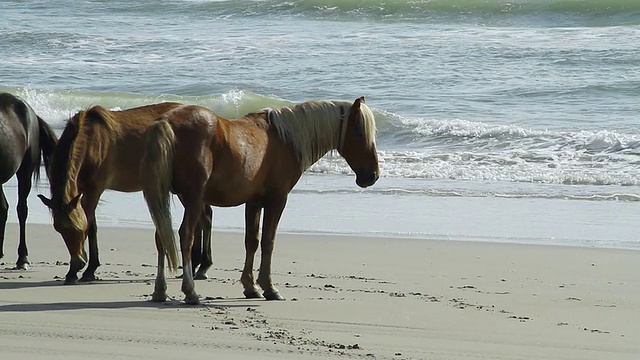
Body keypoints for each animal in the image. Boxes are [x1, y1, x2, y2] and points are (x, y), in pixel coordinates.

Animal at [39, 102, 215, 286]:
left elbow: (91, 224)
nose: (78, 262)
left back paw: (201, 266)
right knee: (202, 219)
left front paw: (87, 270)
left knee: (204, 218)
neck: (91, 140)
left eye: (79, 229)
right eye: (59, 229)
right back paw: (197, 266)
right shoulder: (81, 189)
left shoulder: (95, 189)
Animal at [141, 96, 380, 304]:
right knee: (186, 236)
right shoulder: (277, 199)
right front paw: (269, 287)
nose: (373, 175)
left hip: (169, 197)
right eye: (360, 132)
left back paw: (160, 290)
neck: (284, 139)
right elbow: (268, 241)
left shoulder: (254, 202)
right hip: (193, 199)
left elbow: (252, 241)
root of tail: (166, 121)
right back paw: (190, 291)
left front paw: (250, 286)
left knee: (161, 237)